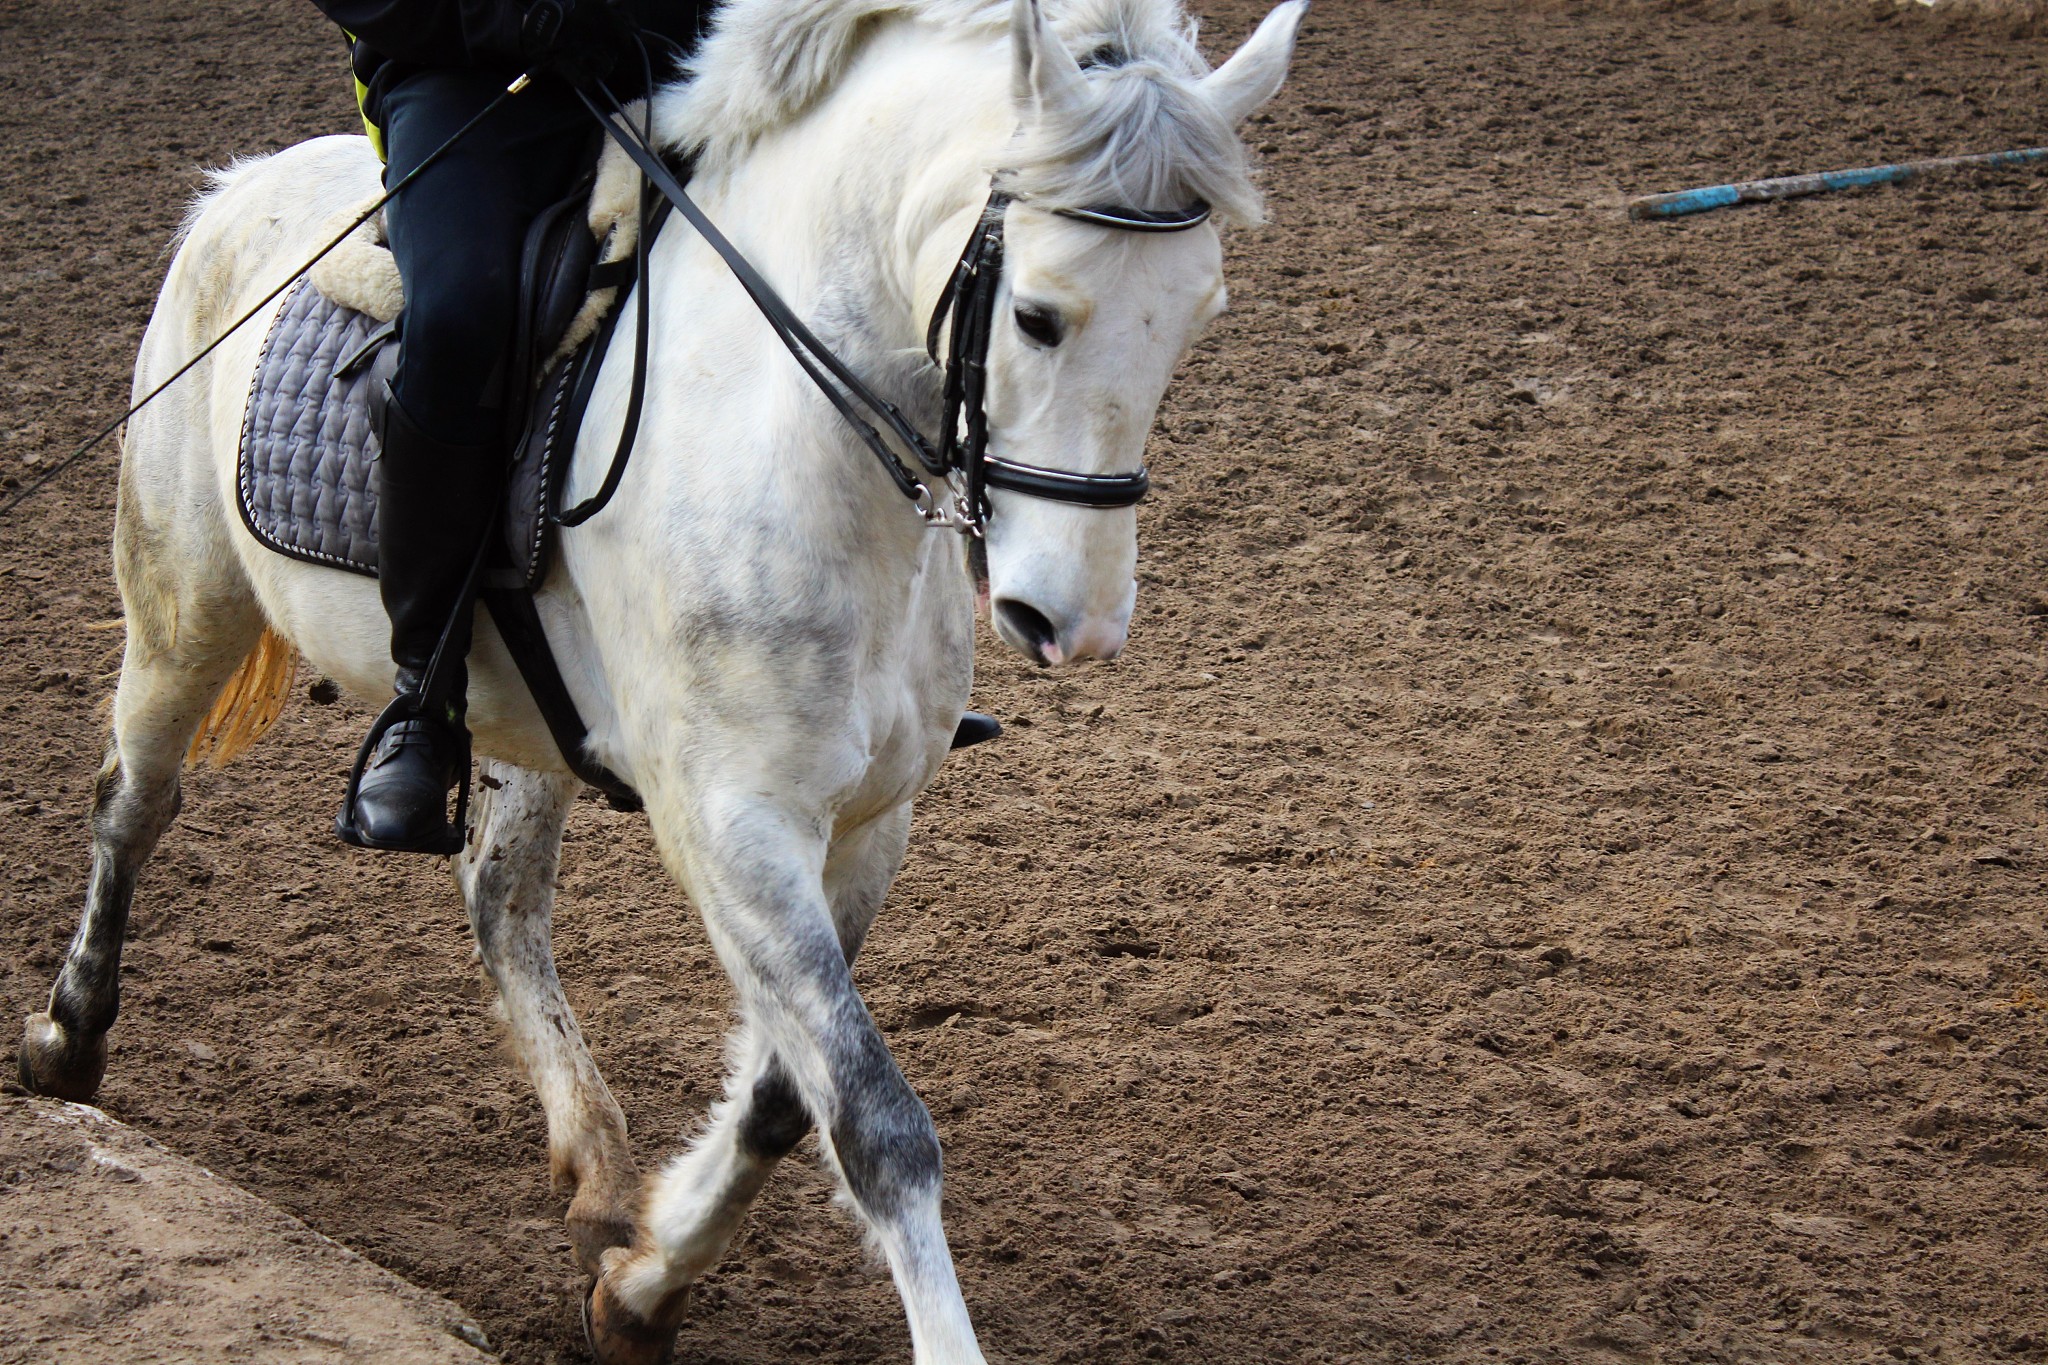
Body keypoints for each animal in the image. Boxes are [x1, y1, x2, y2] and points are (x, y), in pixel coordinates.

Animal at [17, 0, 1304, 1358]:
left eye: (1200, 316)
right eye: (1039, 317)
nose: (1071, 621)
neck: (792, 437)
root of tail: (244, 185)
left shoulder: (867, 823)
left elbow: (787, 1099)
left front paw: (640, 1283)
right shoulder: (731, 825)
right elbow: (875, 1121)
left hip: (515, 717)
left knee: (499, 900)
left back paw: (595, 1173)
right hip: (182, 602)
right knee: (132, 801)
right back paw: (67, 1045)